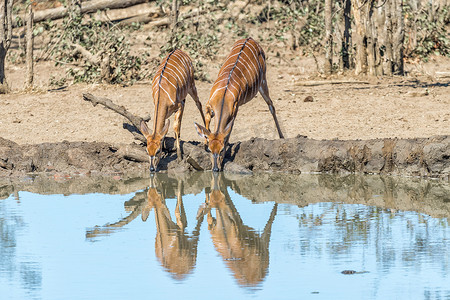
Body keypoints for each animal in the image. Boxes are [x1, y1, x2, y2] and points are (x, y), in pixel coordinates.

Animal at [194, 37, 284, 171]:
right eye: (210, 150)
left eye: (221, 150)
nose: (215, 169)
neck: (223, 97)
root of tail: (250, 39)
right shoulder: (209, 106)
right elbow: (206, 123)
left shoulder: (234, 110)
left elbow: (229, 131)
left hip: (263, 81)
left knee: (271, 105)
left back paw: (282, 136)